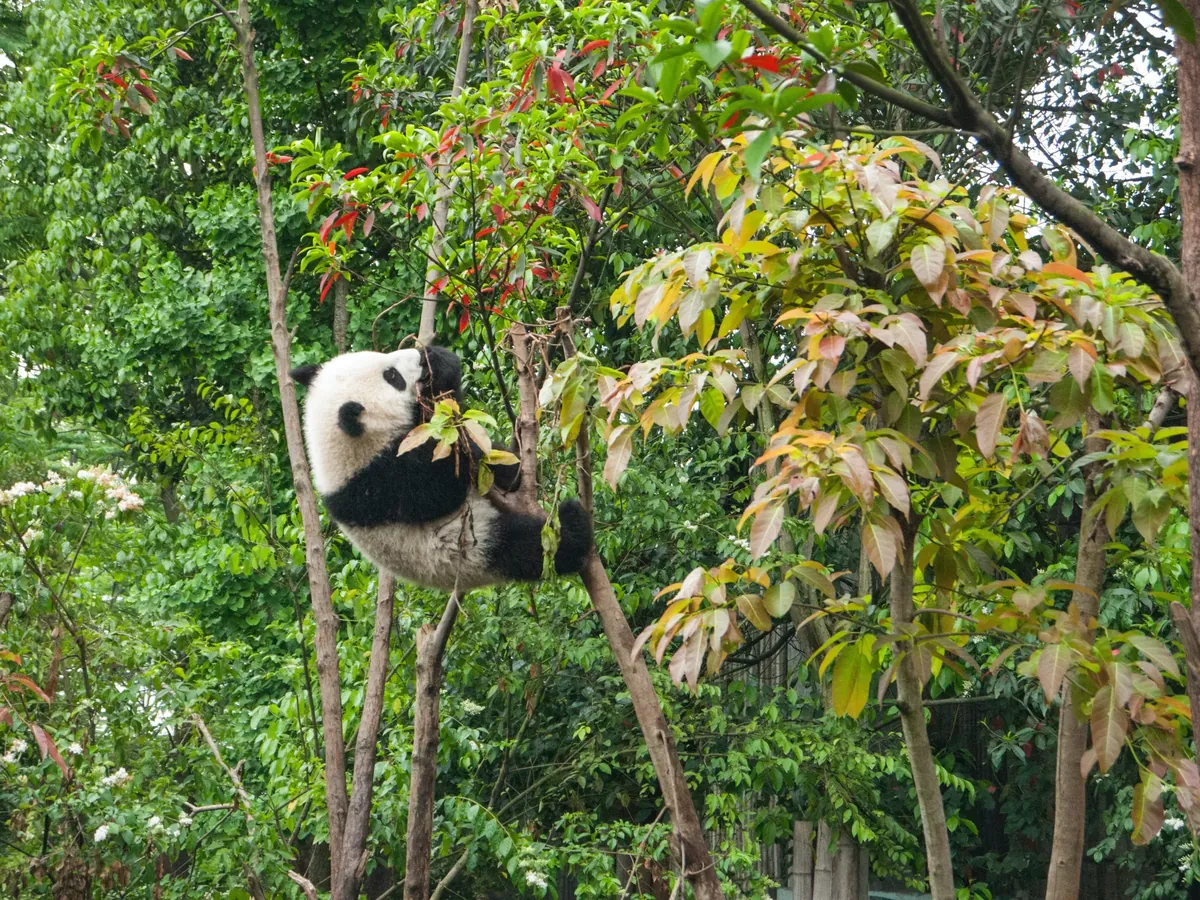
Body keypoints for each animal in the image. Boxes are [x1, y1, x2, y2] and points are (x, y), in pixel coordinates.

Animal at [290, 345, 593, 592]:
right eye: (392, 377)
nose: (418, 354)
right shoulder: (380, 484)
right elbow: (441, 488)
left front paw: (440, 362)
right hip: (473, 549)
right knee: (529, 548)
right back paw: (572, 524)